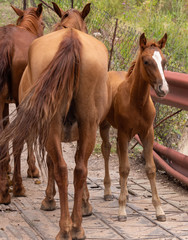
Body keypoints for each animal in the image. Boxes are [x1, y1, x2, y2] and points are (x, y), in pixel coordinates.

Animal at [0, 8, 109, 240]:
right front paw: (83, 203)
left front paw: (49, 197)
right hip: (87, 123)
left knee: (60, 166)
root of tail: (71, 39)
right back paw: (75, 227)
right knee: (78, 169)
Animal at [99, 32, 168, 222]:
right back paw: (108, 191)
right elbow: (124, 168)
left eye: (164, 61)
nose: (163, 89)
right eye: (146, 61)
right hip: (104, 125)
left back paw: (126, 193)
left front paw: (159, 210)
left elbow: (151, 169)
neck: (137, 102)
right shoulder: (123, 132)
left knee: (117, 151)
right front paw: (122, 210)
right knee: (106, 149)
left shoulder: (147, 133)